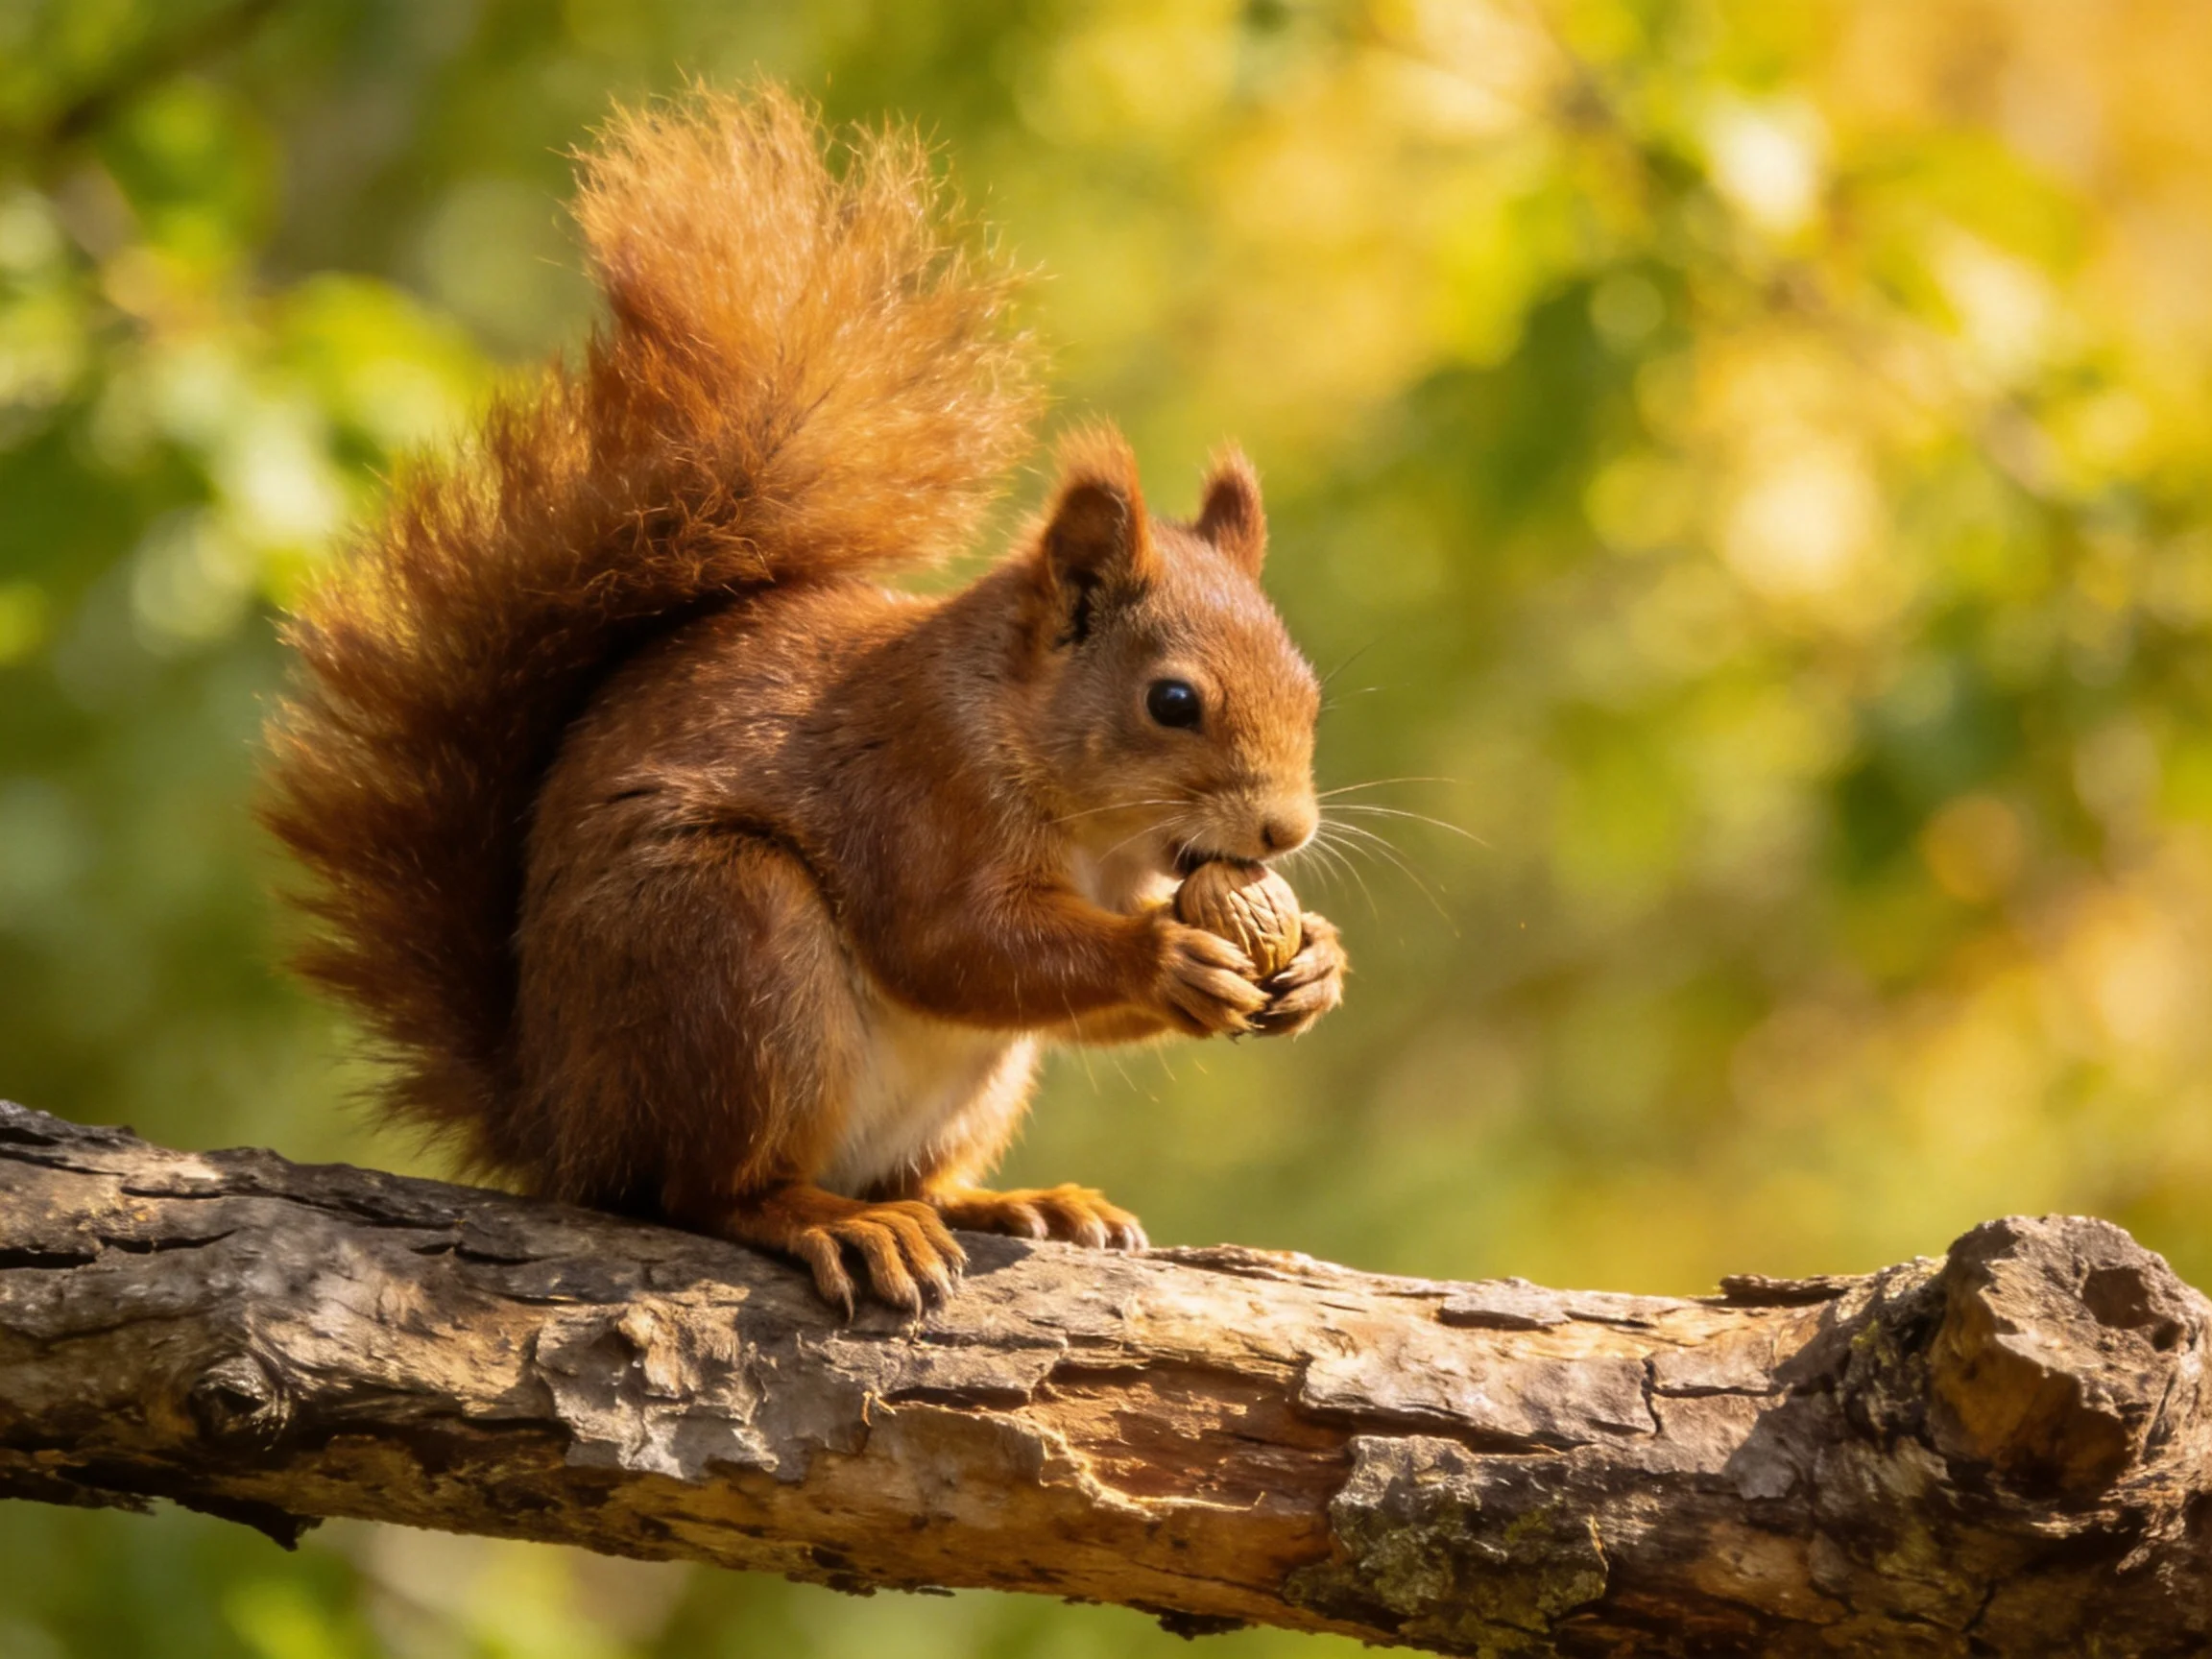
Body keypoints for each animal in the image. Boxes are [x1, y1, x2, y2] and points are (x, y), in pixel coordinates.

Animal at [261, 87, 1346, 1314]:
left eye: (1310, 692)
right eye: (1171, 701)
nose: (1285, 831)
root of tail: (560, 1125)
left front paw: (1316, 962)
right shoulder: (915, 786)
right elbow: (951, 943)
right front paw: (1167, 955)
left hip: (965, 1081)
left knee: (916, 1176)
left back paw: (1012, 1202)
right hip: (730, 950)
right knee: (705, 1191)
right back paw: (828, 1220)